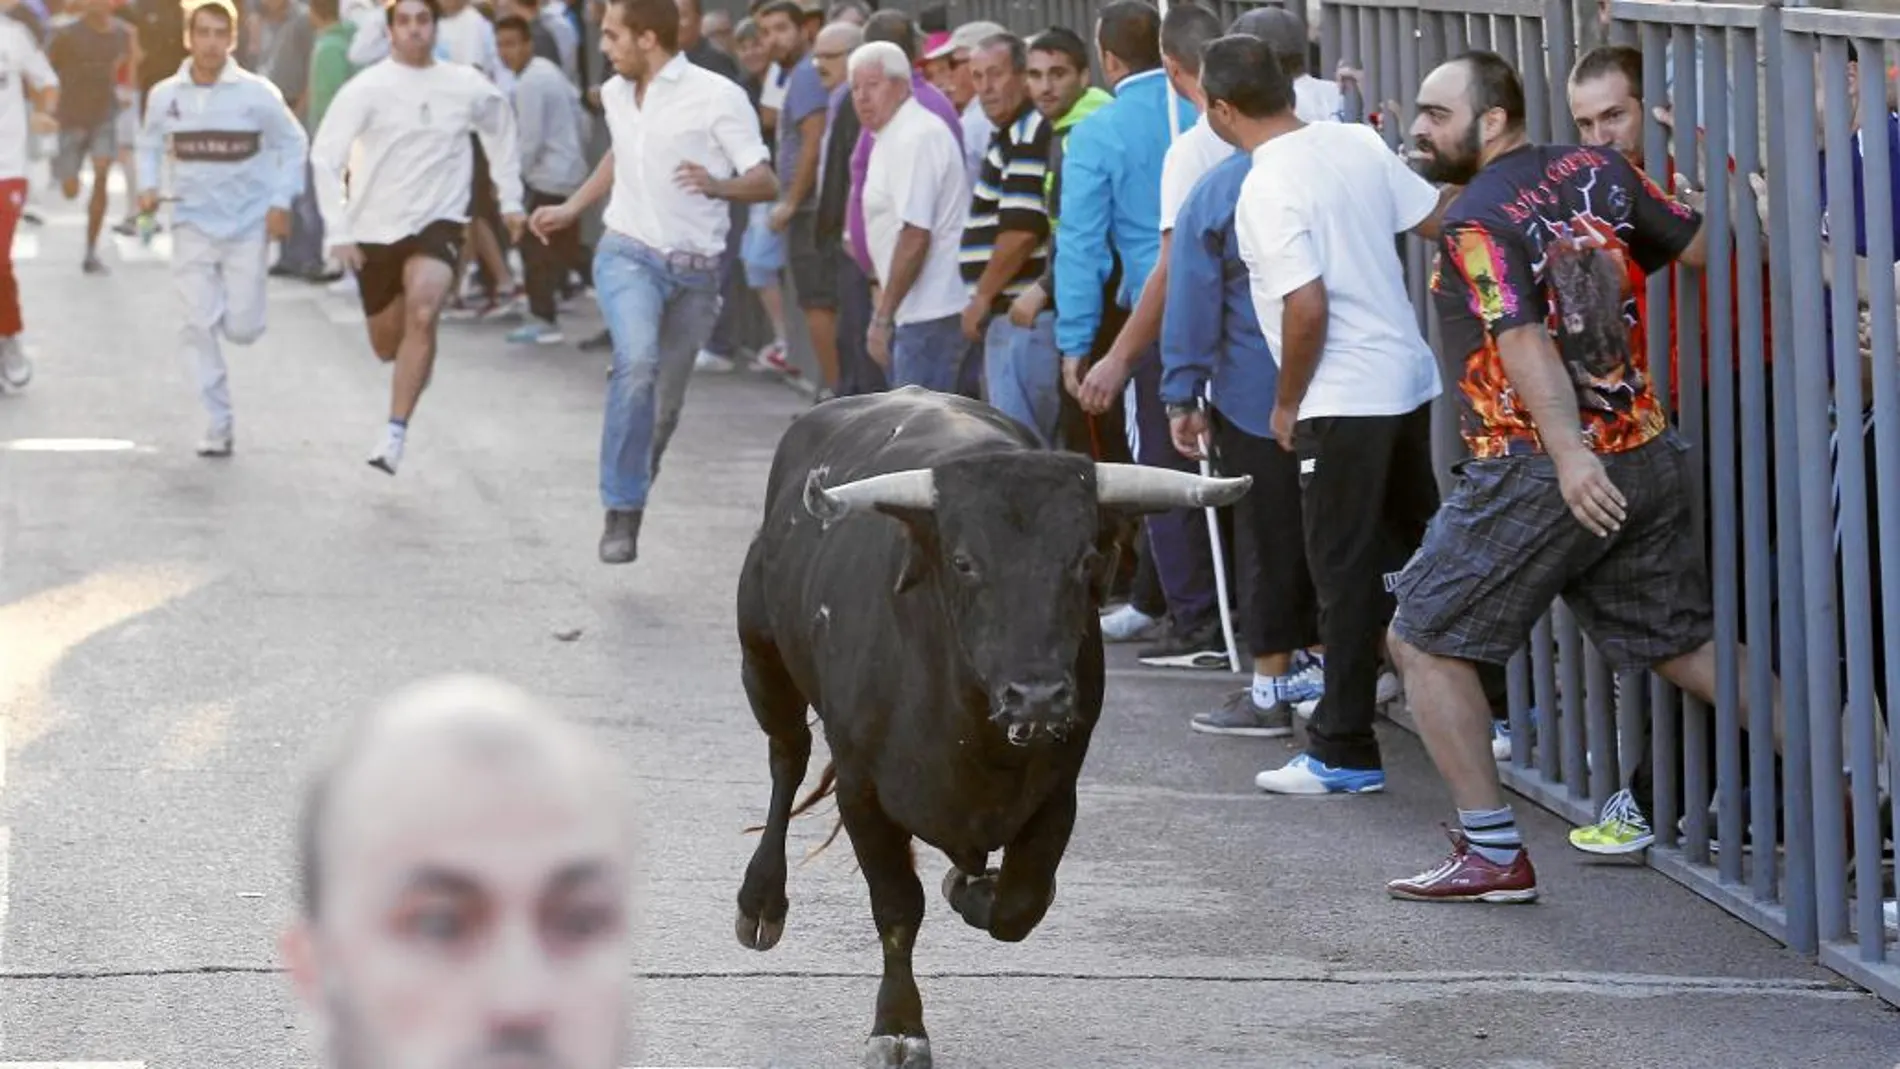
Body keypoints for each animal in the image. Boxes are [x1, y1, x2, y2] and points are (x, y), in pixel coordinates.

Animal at [729, 389, 1246, 1063]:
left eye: (1085, 560)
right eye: (964, 562)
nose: (1039, 696)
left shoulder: (1058, 791)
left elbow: (1020, 904)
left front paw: (973, 892)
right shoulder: (863, 791)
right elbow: (897, 906)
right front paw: (898, 1026)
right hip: (761, 657)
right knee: (787, 757)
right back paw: (761, 900)